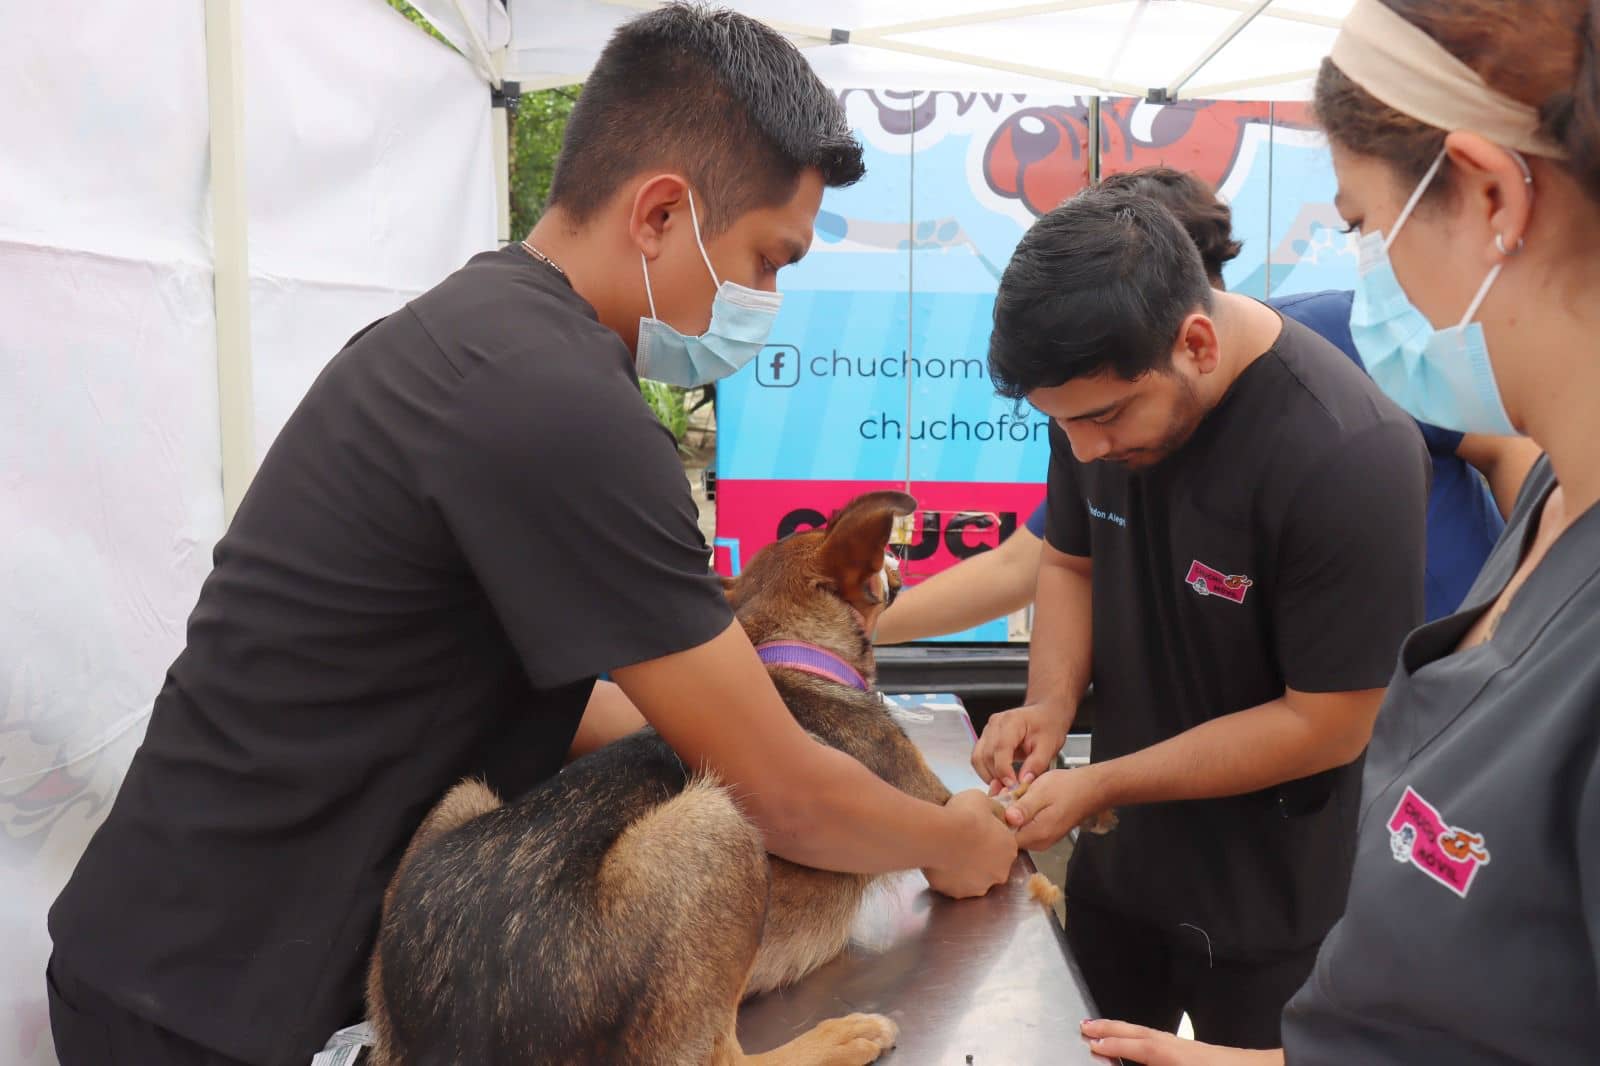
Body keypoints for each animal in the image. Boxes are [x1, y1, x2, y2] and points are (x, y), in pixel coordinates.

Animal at [366, 492, 953, 1062]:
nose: (903, 555)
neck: (793, 652)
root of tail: (456, 1033)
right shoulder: (931, 802)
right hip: (719, 822)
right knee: (717, 1058)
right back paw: (838, 1039)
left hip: (460, 799)